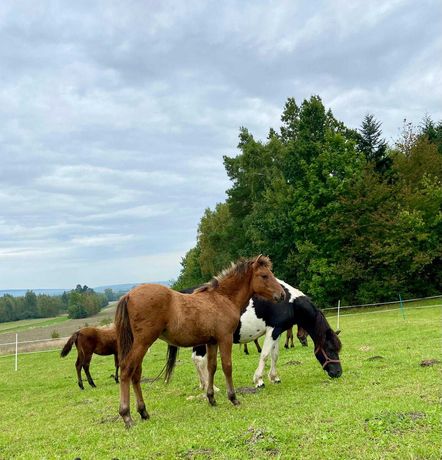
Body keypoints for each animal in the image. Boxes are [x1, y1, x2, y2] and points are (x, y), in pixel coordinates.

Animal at [114, 255, 284, 428]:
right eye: (264, 275)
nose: (282, 294)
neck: (223, 298)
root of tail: (128, 295)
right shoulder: (225, 338)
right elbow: (227, 366)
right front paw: (233, 398)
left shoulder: (212, 342)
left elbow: (212, 367)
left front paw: (211, 398)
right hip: (143, 342)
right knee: (127, 370)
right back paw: (126, 415)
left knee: (136, 374)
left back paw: (143, 412)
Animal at [190, 280, 342, 388]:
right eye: (330, 349)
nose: (338, 372)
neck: (288, 303)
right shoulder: (272, 330)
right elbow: (264, 355)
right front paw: (259, 380)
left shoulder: (278, 331)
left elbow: (275, 355)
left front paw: (274, 377)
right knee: (199, 360)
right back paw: (210, 387)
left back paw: (203, 385)